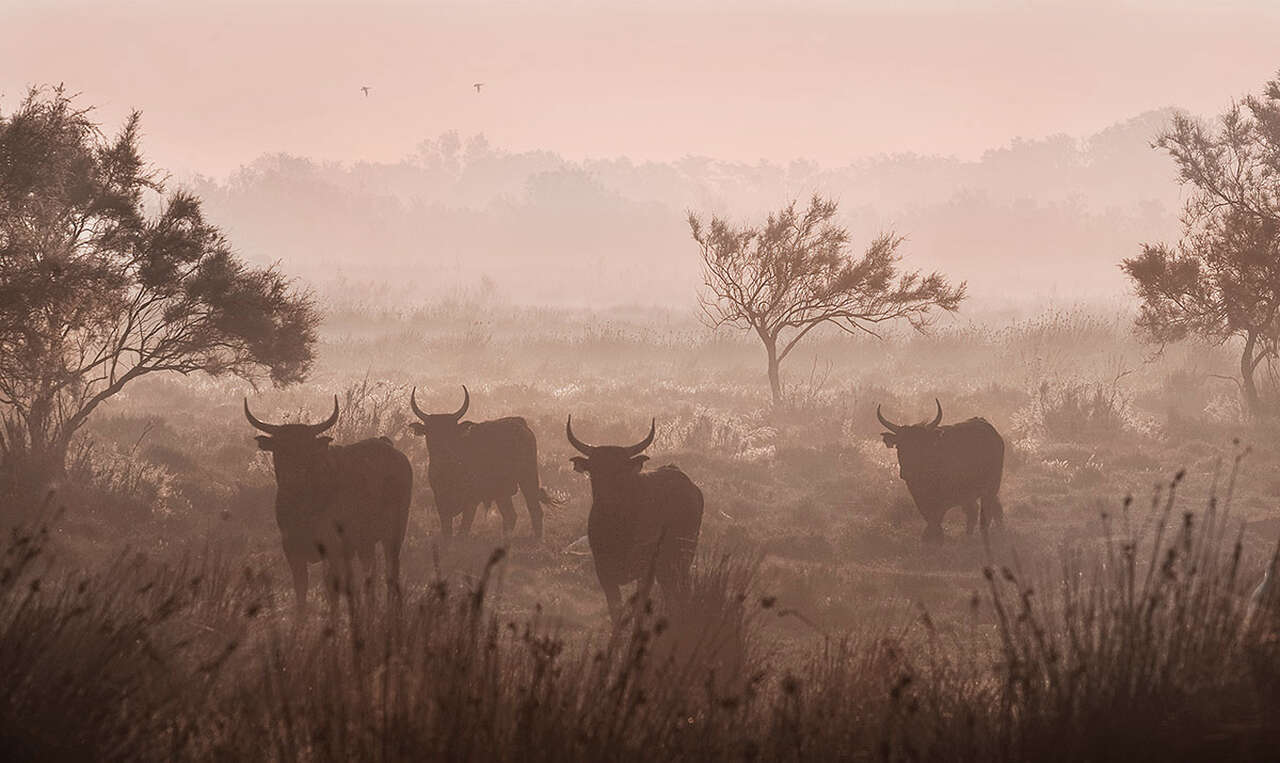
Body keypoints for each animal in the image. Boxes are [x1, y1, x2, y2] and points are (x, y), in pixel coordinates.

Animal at [243, 396, 409, 611]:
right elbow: (301, 589)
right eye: (280, 448)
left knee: (391, 571)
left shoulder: (332, 548)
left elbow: (332, 590)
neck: (302, 507)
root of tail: (390, 448)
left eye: (308, 449)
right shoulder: (291, 549)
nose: (294, 477)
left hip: (395, 534)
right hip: (366, 542)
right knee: (369, 571)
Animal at [407, 384, 552, 540]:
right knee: (510, 515)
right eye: (431, 433)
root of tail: (521, 424)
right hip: (502, 491)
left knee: (534, 510)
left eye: (451, 433)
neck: (450, 470)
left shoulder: (472, 500)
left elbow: (463, 529)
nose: (444, 453)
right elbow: (447, 531)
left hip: (528, 478)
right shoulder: (440, 500)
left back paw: (538, 539)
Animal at [568, 417, 706, 619]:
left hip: (681, 557)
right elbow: (615, 608)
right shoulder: (603, 570)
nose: (607, 497)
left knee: (679, 591)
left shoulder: (645, 570)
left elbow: (638, 606)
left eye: (621, 471)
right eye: (595, 470)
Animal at [875, 399, 1003, 542]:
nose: (907, 472)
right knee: (978, 512)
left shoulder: (942, 501)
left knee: (988, 512)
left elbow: (935, 523)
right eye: (900, 446)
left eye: (921, 446)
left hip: (991, 487)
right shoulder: (919, 498)